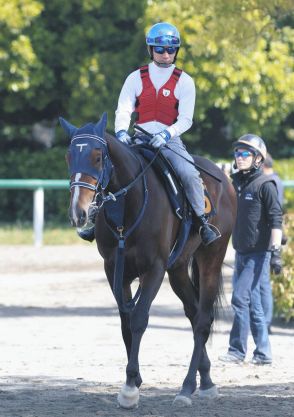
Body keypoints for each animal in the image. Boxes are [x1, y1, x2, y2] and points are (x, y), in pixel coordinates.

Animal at [59, 112, 237, 408]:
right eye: (69, 156)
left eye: (97, 157)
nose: (78, 212)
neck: (128, 206)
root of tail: (224, 177)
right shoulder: (115, 269)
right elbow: (125, 322)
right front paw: (134, 380)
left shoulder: (153, 270)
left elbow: (140, 319)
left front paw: (130, 387)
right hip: (178, 269)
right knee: (193, 313)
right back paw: (206, 380)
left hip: (210, 259)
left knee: (203, 320)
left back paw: (187, 387)